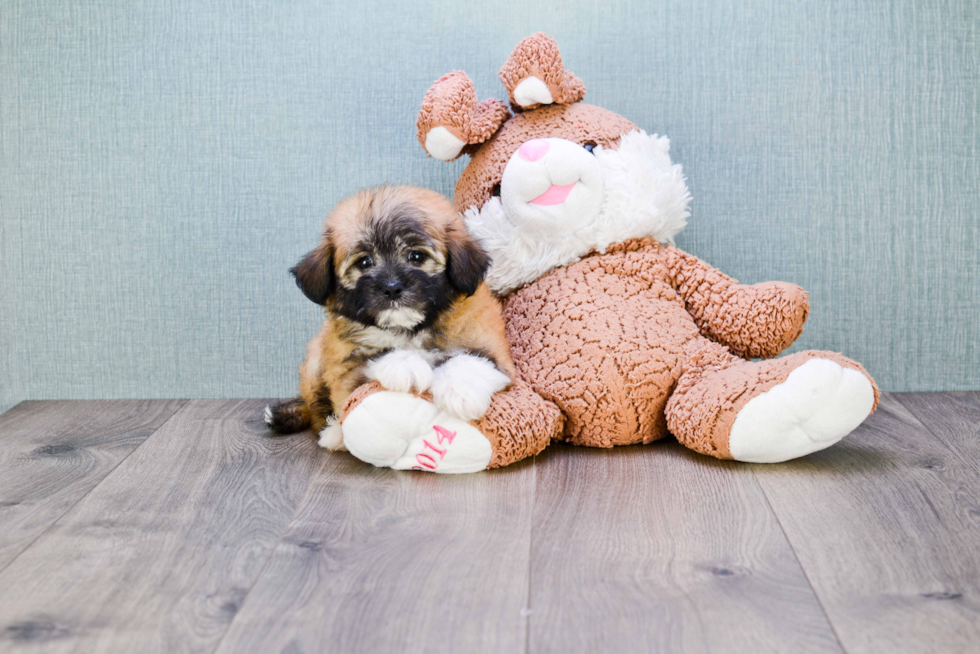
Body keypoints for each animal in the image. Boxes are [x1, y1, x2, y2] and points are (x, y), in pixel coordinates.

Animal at [264, 184, 516, 452]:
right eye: (365, 262)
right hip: (314, 362)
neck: (409, 329)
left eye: (416, 256)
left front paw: (461, 392)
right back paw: (333, 433)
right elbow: (371, 359)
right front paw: (406, 365)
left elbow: (474, 359)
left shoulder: (493, 349)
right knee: (317, 410)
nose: (392, 287)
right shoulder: (344, 371)